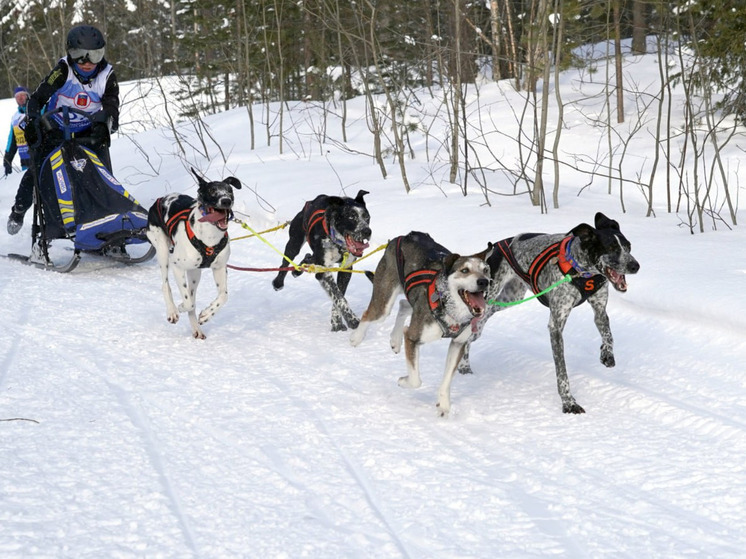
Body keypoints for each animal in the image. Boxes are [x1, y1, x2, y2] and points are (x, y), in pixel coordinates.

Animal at [148, 168, 244, 340]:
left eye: (230, 190)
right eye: (212, 191)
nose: (226, 201)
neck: (210, 238)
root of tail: (161, 199)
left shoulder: (220, 268)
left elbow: (223, 296)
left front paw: (207, 314)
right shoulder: (177, 267)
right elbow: (188, 302)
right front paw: (180, 307)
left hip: (194, 273)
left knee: (191, 296)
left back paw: (196, 329)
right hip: (163, 250)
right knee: (166, 285)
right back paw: (172, 311)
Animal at [272, 192, 370, 332]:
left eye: (367, 217)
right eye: (351, 216)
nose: (367, 231)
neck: (337, 243)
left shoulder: (345, 270)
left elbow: (339, 295)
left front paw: (336, 322)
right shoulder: (324, 271)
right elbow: (339, 297)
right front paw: (352, 320)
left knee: (310, 258)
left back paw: (299, 268)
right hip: (294, 242)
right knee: (285, 262)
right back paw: (278, 282)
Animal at [350, 230, 494, 418]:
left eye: (486, 270)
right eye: (465, 270)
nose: (484, 281)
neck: (450, 310)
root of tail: (402, 237)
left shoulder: (458, 344)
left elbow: (446, 380)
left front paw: (444, 405)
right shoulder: (413, 338)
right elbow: (416, 380)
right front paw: (403, 381)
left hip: (411, 302)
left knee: (404, 304)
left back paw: (395, 340)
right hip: (383, 305)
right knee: (369, 314)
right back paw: (356, 338)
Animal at [460, 212, 640, 414]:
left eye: (628, 247)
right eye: (611, 248)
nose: (635, 266)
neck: (581, 270)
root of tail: (494, 248)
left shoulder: (600, 310)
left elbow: (608, 335)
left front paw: (606, 353)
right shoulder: (556, 325)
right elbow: (562, 371)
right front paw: (569, 402)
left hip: (509, 298)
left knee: (482, 319)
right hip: (489, 295)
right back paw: (464, 365)